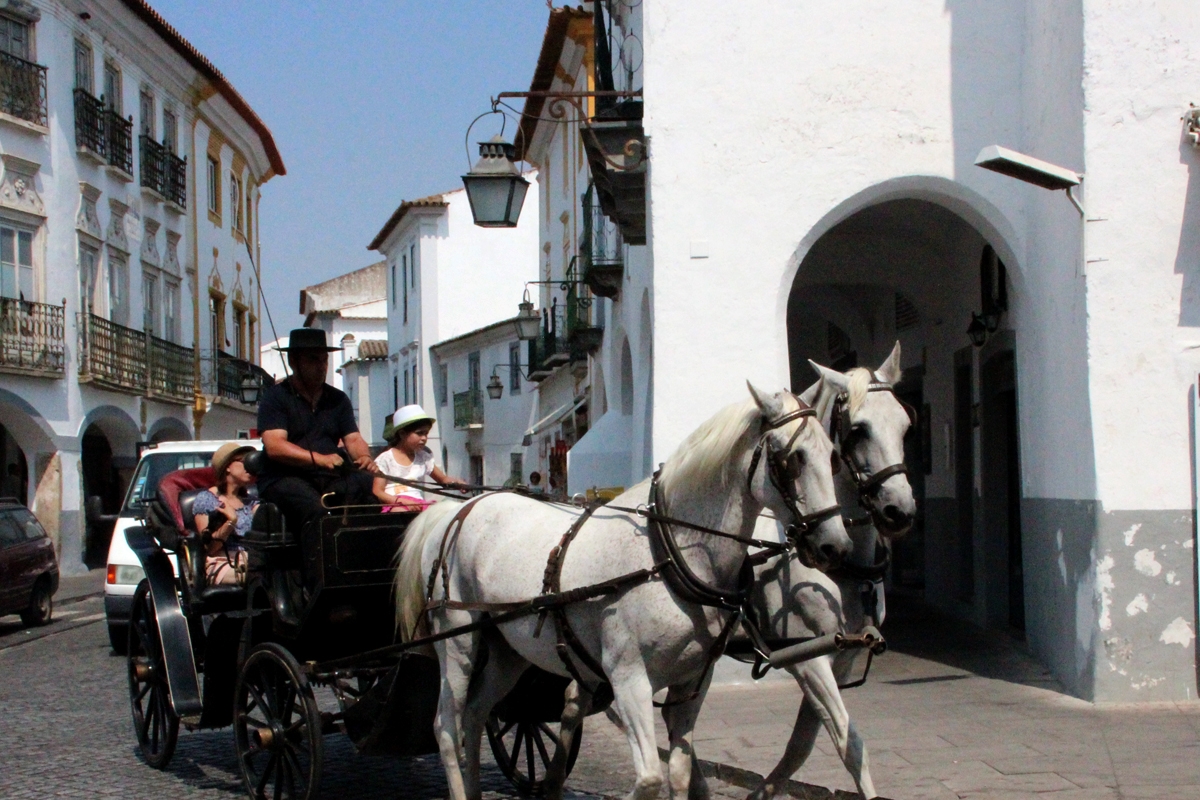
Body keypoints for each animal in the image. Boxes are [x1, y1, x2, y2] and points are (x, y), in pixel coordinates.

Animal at [398, 383, 849, 796]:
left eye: (832, 454)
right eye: (792, 457)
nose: (836, 546)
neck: (668, 552)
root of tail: (457, 509)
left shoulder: (692, 682)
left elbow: (678, 772)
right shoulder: (628, 676)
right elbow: (649, 778)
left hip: (508, 651)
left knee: (475, 717)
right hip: (458, 641)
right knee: (447, 728)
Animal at [724, 345, 912, 800]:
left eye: (905, 425)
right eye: (858, 430)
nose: (899, 510)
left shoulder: (839, 658)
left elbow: (801, 745)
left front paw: (763, 792)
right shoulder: (809, 659)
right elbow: (849, 742)